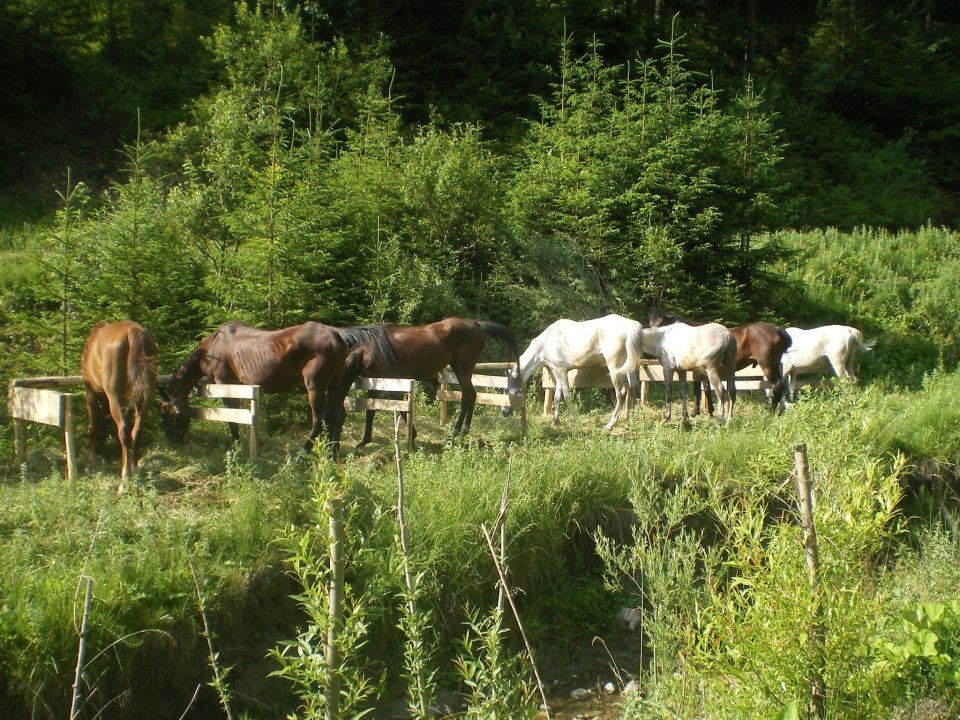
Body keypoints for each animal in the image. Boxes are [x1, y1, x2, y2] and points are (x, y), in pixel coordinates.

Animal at [81, 320, 158, 484]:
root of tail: (133, 332)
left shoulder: (90, 392)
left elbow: (93, 427)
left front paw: (89, 465)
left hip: (114, 396)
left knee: (123, 430)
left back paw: (126, 476)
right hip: (145, 395)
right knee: (137, 430)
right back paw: (135, 469)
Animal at [158, 322, 390, 458]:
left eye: (165, 413)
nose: (173, 439)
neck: (213, 348)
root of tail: (338, 334)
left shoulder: (226, 385)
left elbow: (232, 418)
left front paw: (235, 447)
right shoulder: (245, 388)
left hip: (314, 385)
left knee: (318, 419)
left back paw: (301, 454)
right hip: (335, 385)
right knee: (338, 415)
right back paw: (333, 453)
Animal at [338, 318, 516, 448]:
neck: (370, 347)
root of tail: (477, 323)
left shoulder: (392, 384)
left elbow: (400, 408)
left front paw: (412, 437)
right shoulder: (375, 382)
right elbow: (371, 410)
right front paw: (364, 440)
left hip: (463, 369)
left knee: (468, 396)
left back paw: (457, 432)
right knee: (470, 396)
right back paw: (461, 431)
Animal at [510, 314, 644, 428]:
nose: (508, 410)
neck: (545, 343)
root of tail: (632, 326)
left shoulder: (560, 371)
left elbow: (567, 396)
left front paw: (571, 421)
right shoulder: (558, 371)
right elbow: (557, 396)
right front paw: (555, 421)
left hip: (614, 369)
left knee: (620, 393)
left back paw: (610, 424)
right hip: (629, 368)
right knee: (632, 389)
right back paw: (630, 420)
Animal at [644, 310, 796, 416]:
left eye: (661, 322)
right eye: (651, 322)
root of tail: (779, 331)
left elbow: (699, 390)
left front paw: (697, 412)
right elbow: (705, 389)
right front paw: (709, 410)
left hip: (767, 365)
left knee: (777, 386)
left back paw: (771, 412)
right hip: (774, 365)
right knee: (782, 386)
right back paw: (779, 411)